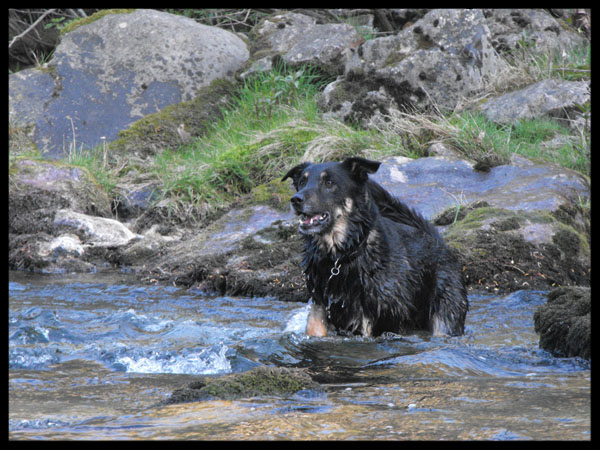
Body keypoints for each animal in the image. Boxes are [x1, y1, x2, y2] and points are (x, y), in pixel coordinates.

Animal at [282, 158, 468, 338]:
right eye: (302, 182)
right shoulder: (320, 304)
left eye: (328, 183)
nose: (295, 199)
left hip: (445, 313)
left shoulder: (379, 317)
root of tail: (437, 240)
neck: (341, 255)